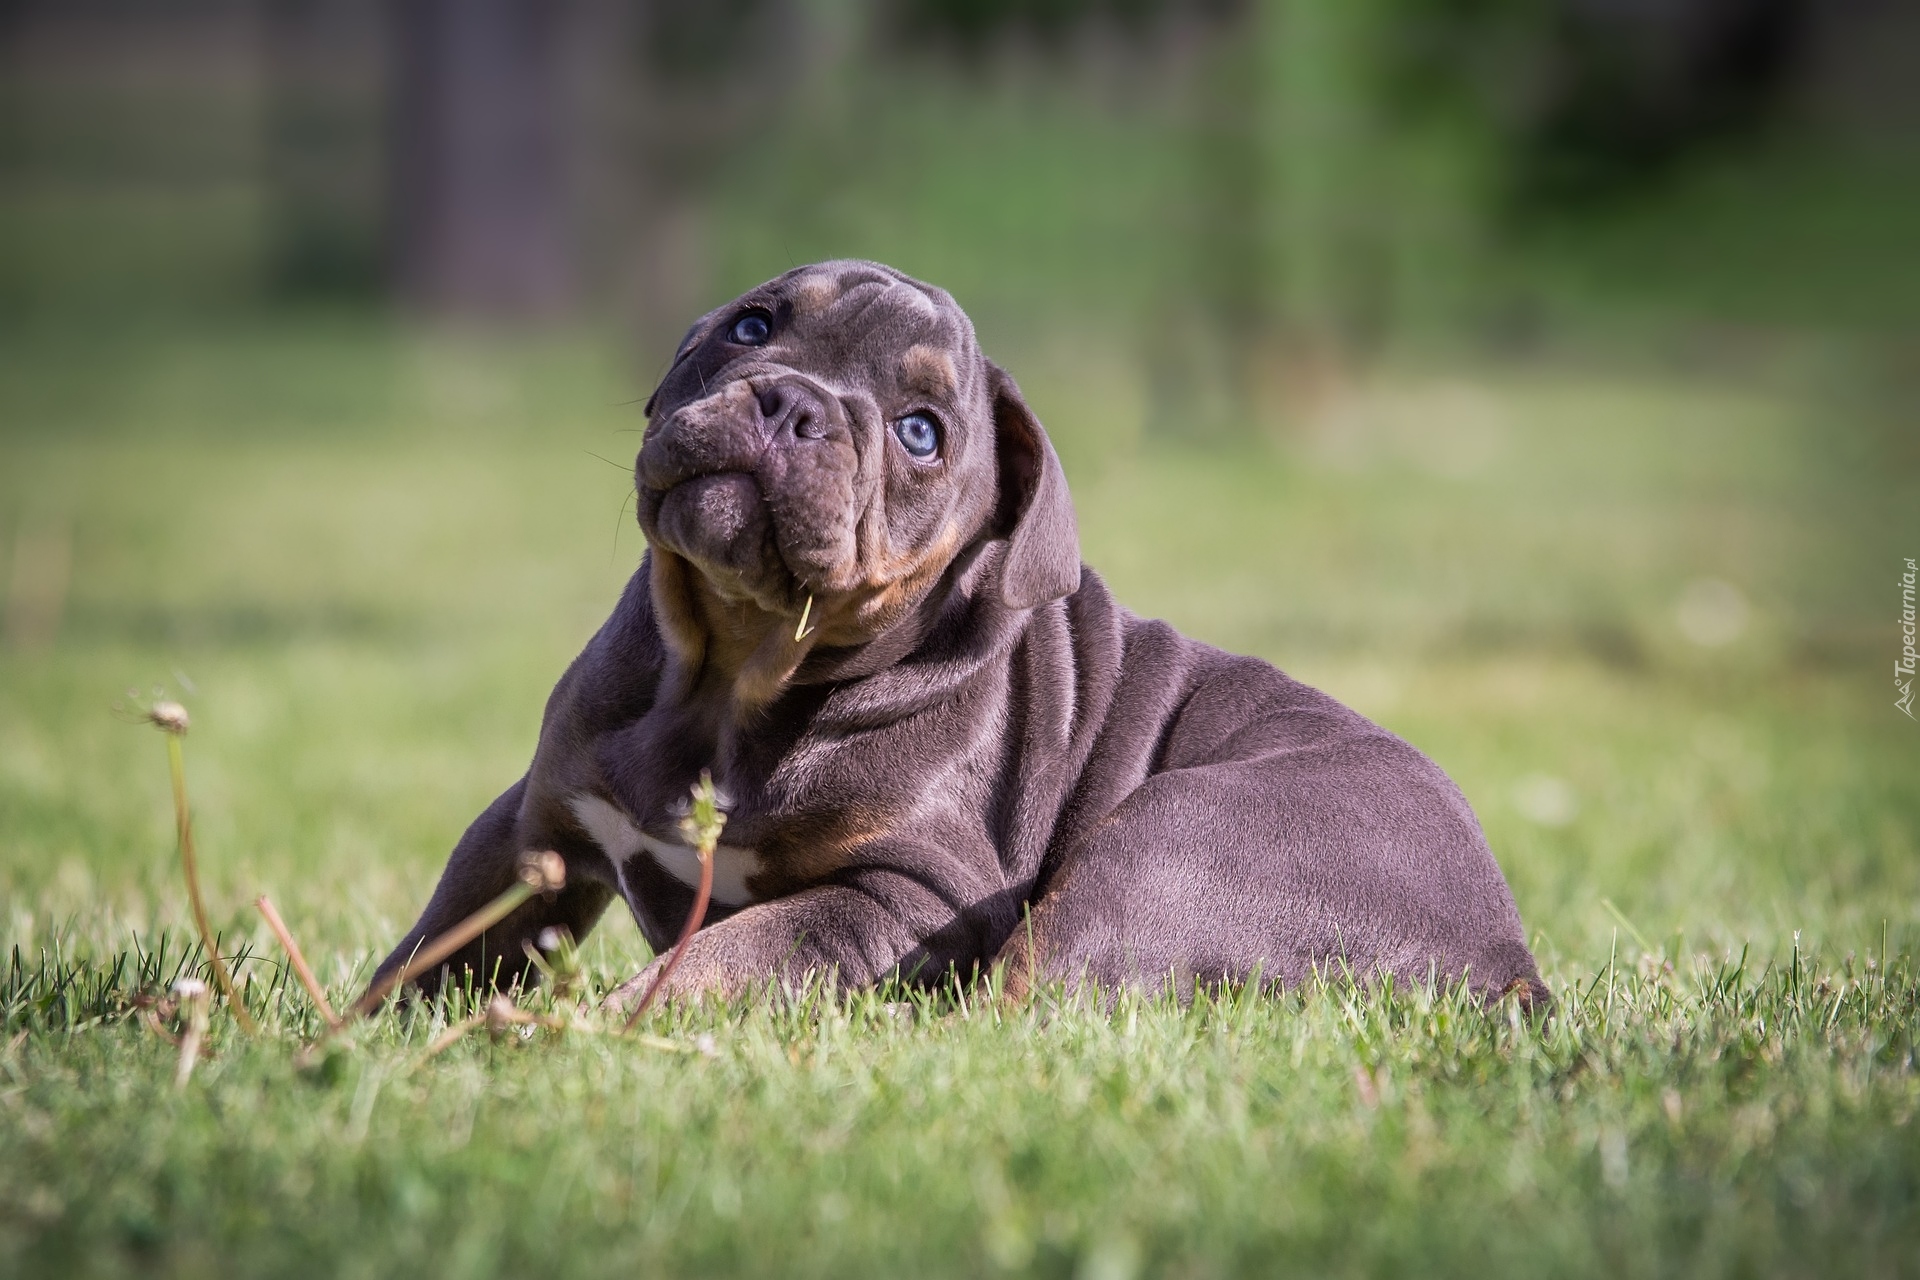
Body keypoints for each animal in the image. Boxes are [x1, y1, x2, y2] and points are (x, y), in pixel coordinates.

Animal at [370, 260, 1543, 1013]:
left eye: (920, 434)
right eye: (751, 326)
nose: (792, 402)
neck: (731, 673)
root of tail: (1505, 951)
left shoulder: (902, 892)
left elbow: (717, 957)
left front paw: (586, 1030)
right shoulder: (535, 826)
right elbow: (436, 942)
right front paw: (359, 1037)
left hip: (1167, 840)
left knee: (1016, 1010)